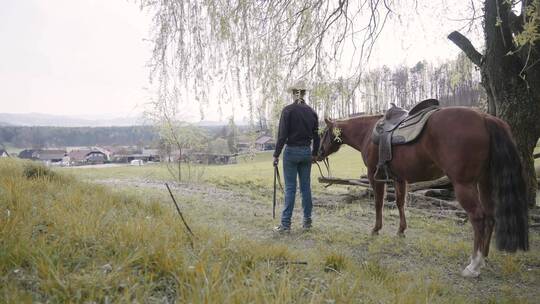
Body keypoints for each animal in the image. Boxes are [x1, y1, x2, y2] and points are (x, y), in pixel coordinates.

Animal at [318, 107, 528, 278]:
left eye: (323, 133)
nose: (317, 153)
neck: (368, 133)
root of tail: (484, 117)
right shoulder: (399, 179)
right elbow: (400, 203)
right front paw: (401, 230)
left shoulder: (374, 176)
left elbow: (378, 203)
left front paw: (376, 229)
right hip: (484, 182)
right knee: (491, 217)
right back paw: (483, 257)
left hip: (465, 184)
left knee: (478, 218)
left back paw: (474, 265)